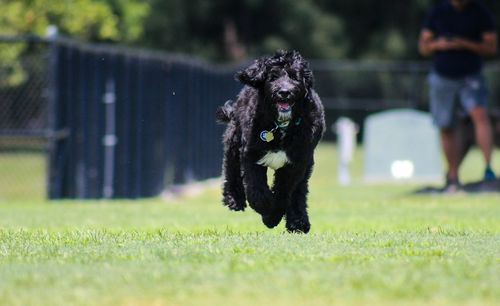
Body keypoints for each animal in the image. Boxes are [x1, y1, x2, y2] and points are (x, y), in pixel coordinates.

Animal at [215, 50, 324, 233]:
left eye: (294, 77)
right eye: (273, 77)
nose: (284, 92)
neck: (280, 127)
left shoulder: (296, 163)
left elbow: (284, 191)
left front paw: (272, 216)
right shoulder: (250, 155)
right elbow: (256, 189)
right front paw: (266, 210)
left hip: (307, 163)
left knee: (299, 190)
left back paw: (298, 222)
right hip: (234, 140)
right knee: (231, 169)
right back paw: (234, 199)